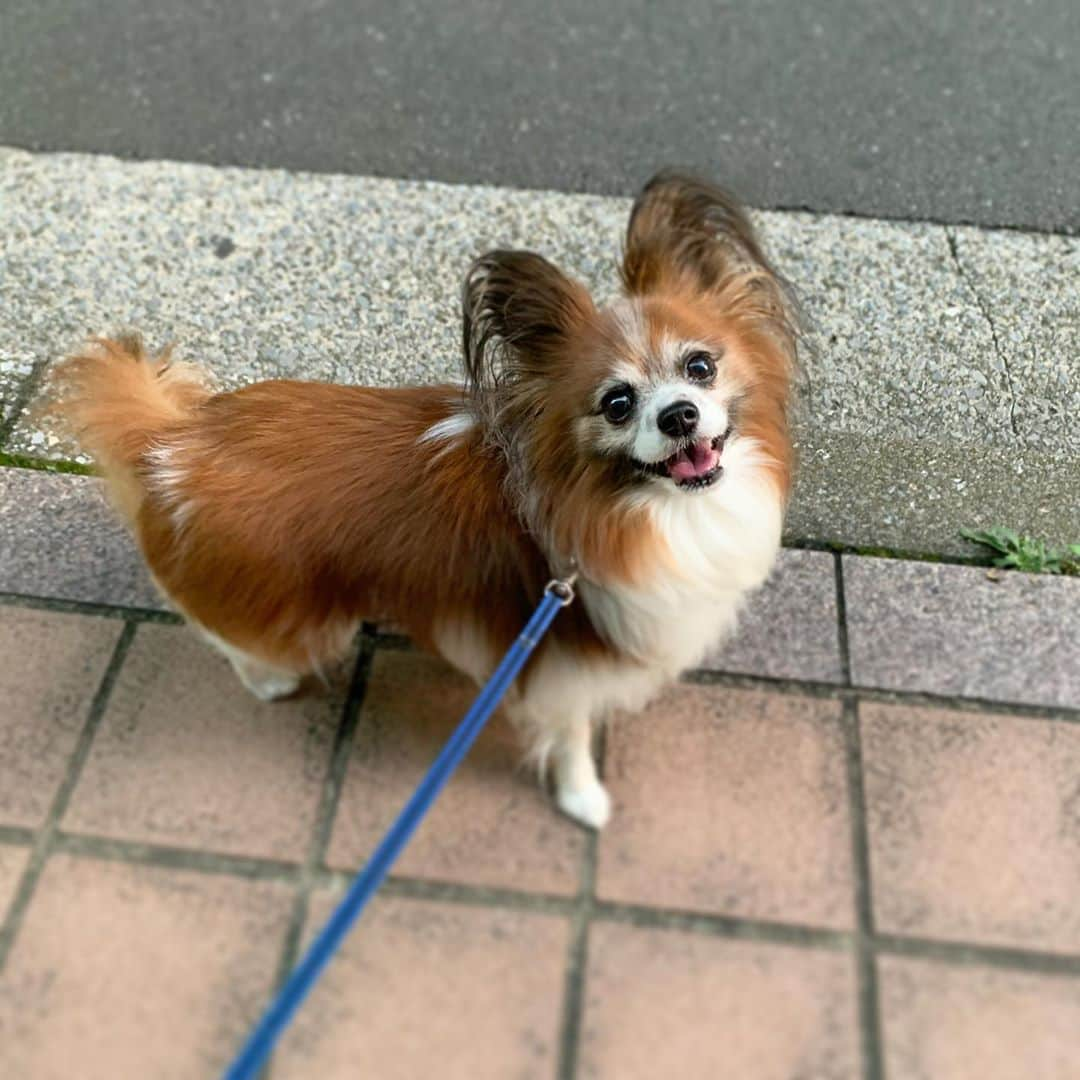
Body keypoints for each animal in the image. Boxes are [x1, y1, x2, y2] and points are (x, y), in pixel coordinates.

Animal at [42, 172, 799, 829]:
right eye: (616, 403)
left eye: (700, 366)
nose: (678, 415)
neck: (639, 508)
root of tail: (175, 440)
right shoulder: (560, 666)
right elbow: (571, 738)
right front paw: (584, 799)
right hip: (289, 613)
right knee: (230, 636)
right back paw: (269, 683)